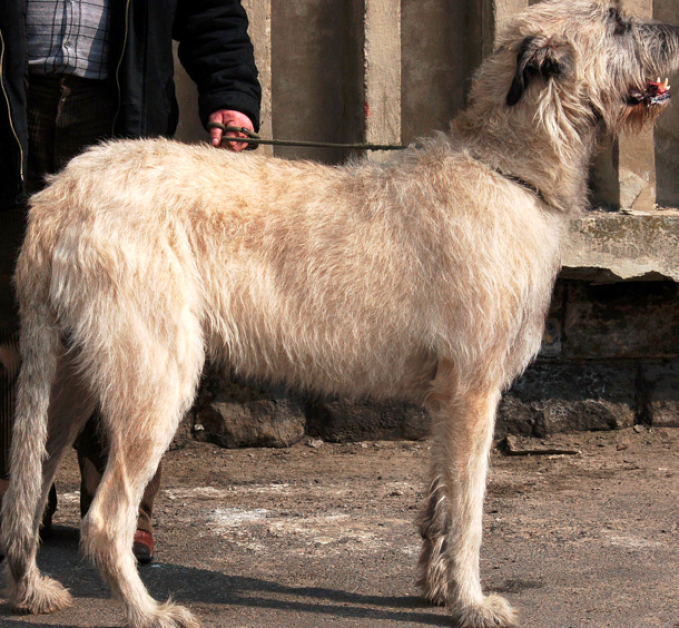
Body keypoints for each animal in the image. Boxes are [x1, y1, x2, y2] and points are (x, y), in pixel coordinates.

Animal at [1, 1, 679, 628]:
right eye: (617, 20)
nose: (673, 31)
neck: (505, 168)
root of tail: (58, 194)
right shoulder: (474, 388)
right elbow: (469, 511)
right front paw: (472, 601)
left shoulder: (448, 396)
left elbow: (440, 500)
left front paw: (437, 587)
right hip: (153, 370)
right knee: (104, 517)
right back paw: (147, 610)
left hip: (66, 372)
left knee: (25, 488)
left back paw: (33, 590)